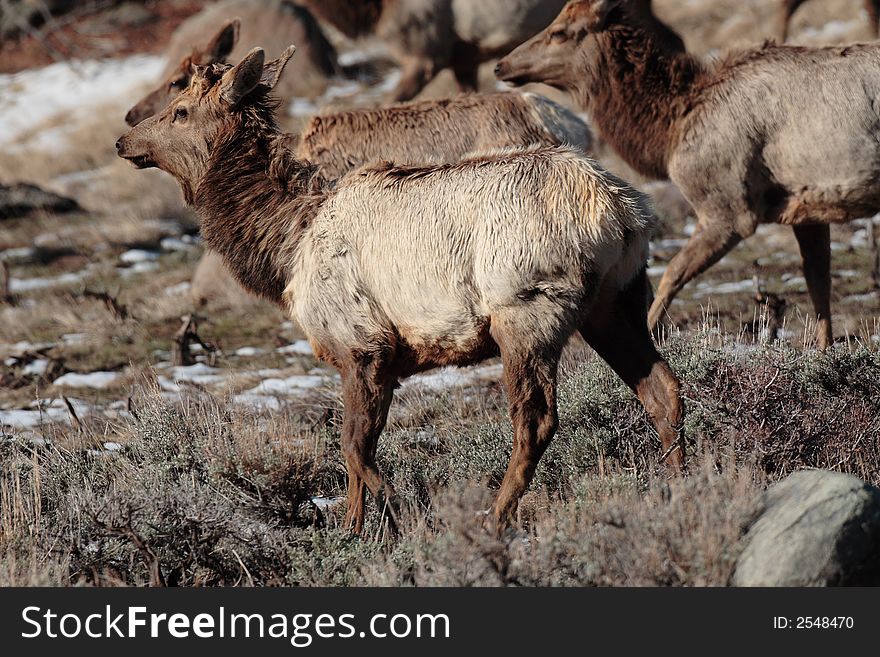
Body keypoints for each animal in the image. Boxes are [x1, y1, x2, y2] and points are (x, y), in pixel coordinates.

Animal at [115, 46, 680, 532]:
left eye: (180, 110)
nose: (125, 139)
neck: (285, 248)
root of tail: (623, 212)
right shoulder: (376, 357)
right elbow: (354, 454)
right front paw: (353, 530)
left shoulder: (362, 343)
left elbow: (352, 448)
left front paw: (401, 516)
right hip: (617, 299)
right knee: (661, 387)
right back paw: (678, 480)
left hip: (526, 309)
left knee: (537, 421)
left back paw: (496, 516)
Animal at [496, 0, 880, 348]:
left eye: (560, 32)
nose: (501, 65)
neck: (671, 129)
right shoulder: (805, 206)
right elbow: (818, 281)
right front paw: (825, 351)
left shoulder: (729, 208)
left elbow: (671, 274)